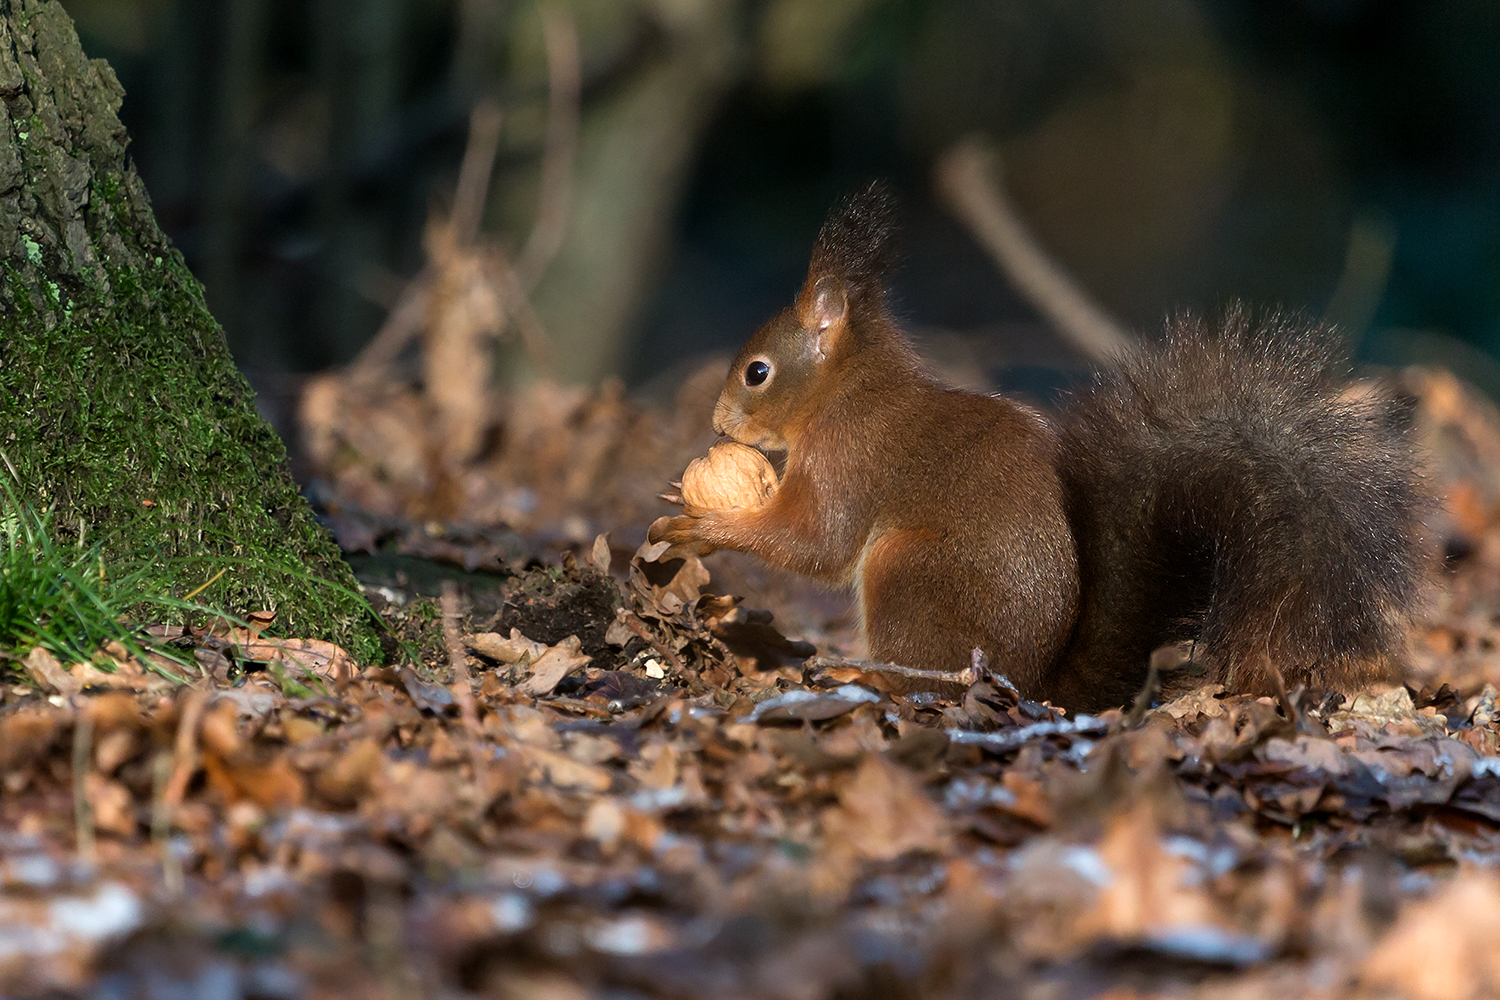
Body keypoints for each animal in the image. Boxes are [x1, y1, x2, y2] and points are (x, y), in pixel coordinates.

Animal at [651, 182, 1422, 710]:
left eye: (757, 372)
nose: (718, 423)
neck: (847, 389)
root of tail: (1033, 682)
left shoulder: (849, 457)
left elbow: (817, 542)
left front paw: (704, 523)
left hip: (909, 572)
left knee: (922, 682)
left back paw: (861, 674)